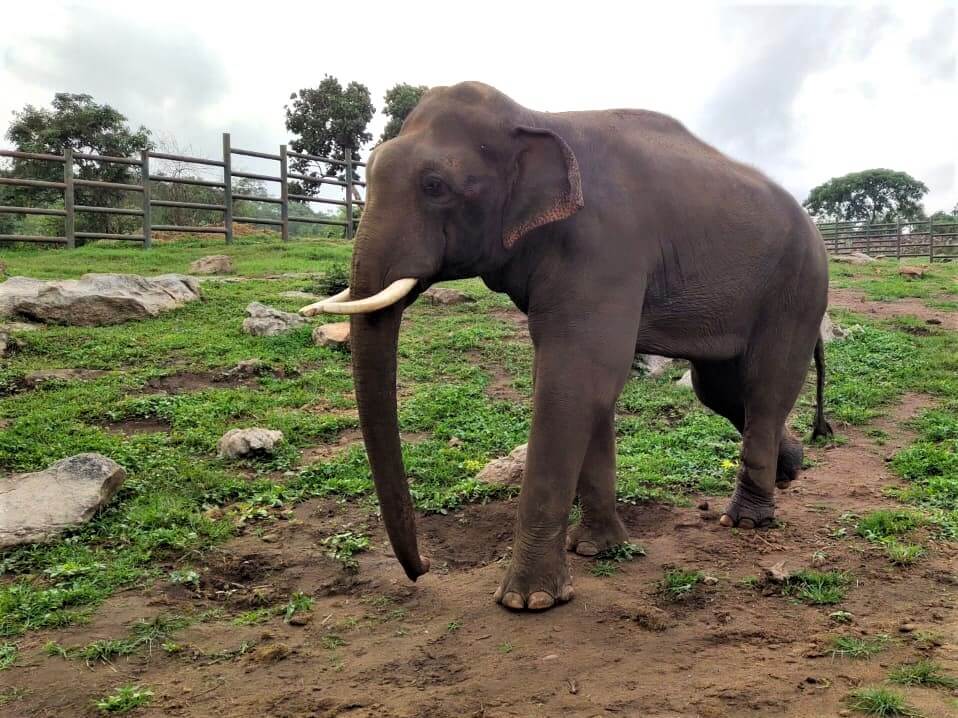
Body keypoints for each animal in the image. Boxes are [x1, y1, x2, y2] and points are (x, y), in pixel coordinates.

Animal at [302, 83, 832, 612]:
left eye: (435, 186)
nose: (424, 569)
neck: (536, 117)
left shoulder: (605, 248)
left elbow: (574, 383)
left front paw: (528, 601)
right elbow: (583, 385)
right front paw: (596, 549)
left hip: (798, 287)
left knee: (765, 385)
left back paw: (746, 519)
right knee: (719, 388)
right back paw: (791, 466)